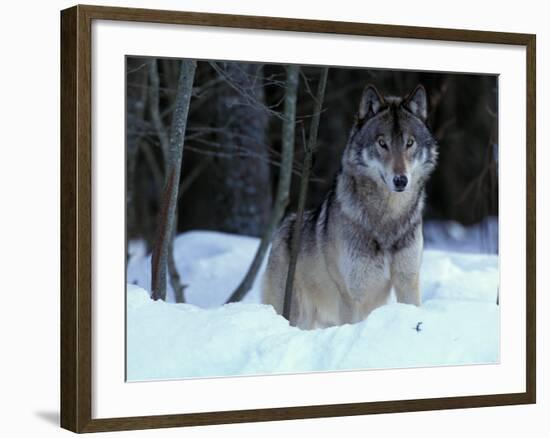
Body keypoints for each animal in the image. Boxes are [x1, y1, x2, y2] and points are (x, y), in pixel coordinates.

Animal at [264, 83, 440, 328]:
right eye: (382, 143)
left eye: (409, 143)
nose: (401, 180)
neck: (388, 218)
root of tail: (283, 226)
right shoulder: (353, 295)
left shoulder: (408, 282)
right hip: (297, 314)